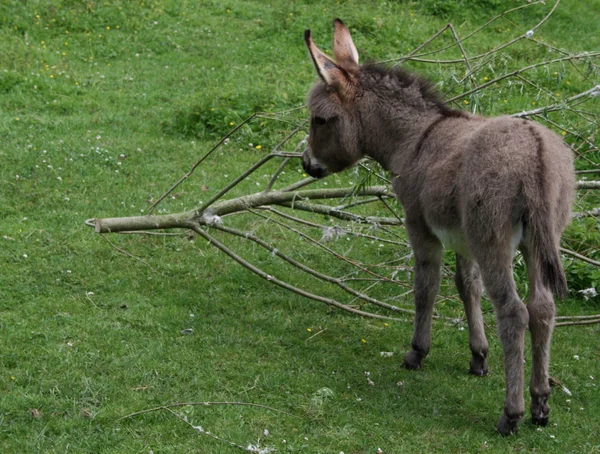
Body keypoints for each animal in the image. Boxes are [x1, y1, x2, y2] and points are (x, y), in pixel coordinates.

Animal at [302, 19, 576, 434]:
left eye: (320, 119)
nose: (305, 164)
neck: (415, 136)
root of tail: (535, 155)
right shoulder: (464, 240)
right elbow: (467, 287)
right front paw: (478, 357)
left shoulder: (420, 226)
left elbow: (425, 288)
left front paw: (417, 352)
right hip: (539, 242)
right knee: (542, 309)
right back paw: (540, 403)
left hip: (494, 239)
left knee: (514, 312)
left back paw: (510, 414)